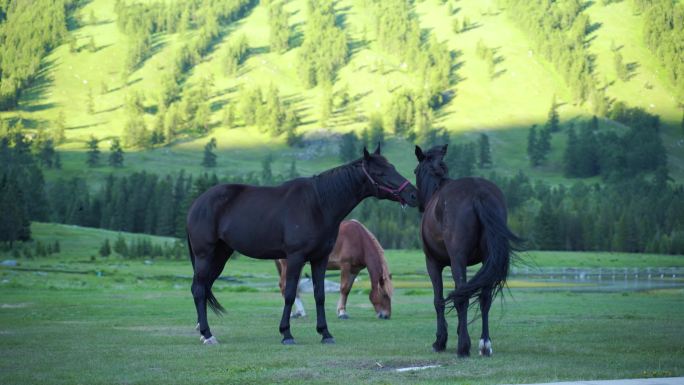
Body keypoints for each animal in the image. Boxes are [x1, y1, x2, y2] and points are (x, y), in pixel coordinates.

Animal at [184, 146, 416, 344]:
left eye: (393, 168)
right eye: (380, 173)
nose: (412, 194)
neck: (318, 204)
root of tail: (197, 204)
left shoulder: (320, 259)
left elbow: (320, 295)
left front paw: (325, 333)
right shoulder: (296, 258)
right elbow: (289, 293)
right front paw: (286, 333)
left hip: (220, 256)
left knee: (203, 288)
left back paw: (202, 331)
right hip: (205, 255)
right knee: (199, 289)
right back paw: (208, 334)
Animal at [414, 145, 520, 356]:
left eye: (415, 171)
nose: (417, 202)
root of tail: (479, 193)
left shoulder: (434, 263)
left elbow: (439, 299)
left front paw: (440, 340)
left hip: (458, 260)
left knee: (462, 296)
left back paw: (463, 346)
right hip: (488, 259)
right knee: (484, 297)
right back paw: (484, 343)